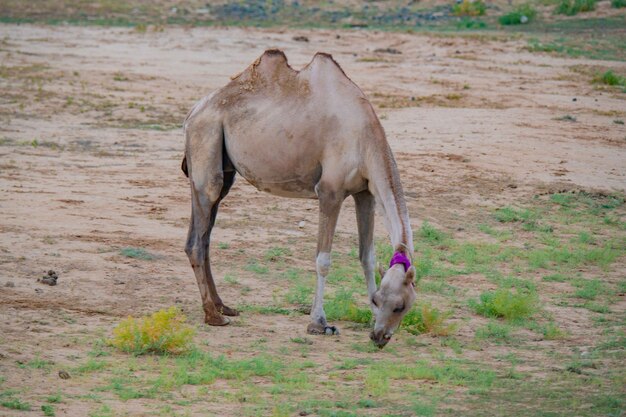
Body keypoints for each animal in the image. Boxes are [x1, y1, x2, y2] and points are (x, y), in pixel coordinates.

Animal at [180, 48, 414, 348]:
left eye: (398, 305)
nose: (380, 337)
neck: (365, 139)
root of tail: (193, 113)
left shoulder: (365, 192)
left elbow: (367, 256)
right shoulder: (329, 191)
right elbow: (323, 260)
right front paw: (319, 323)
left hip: (223, 166)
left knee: (204, 234)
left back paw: (224, 306)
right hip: (206, 141)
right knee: (198, 235)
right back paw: (213, 316)